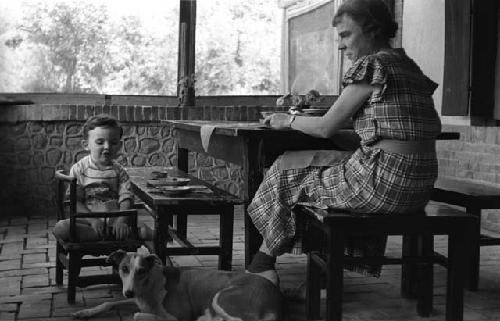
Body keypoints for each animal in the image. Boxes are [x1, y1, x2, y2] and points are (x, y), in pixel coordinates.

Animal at [73, 246, 286, 318]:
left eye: (142, 271)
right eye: (124, 269)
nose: (129, 293)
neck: (150, 287)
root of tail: (276, 295)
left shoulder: (177, 316)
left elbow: (140, 315)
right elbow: (108, 303)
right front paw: (84, 312)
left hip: (222, 298)